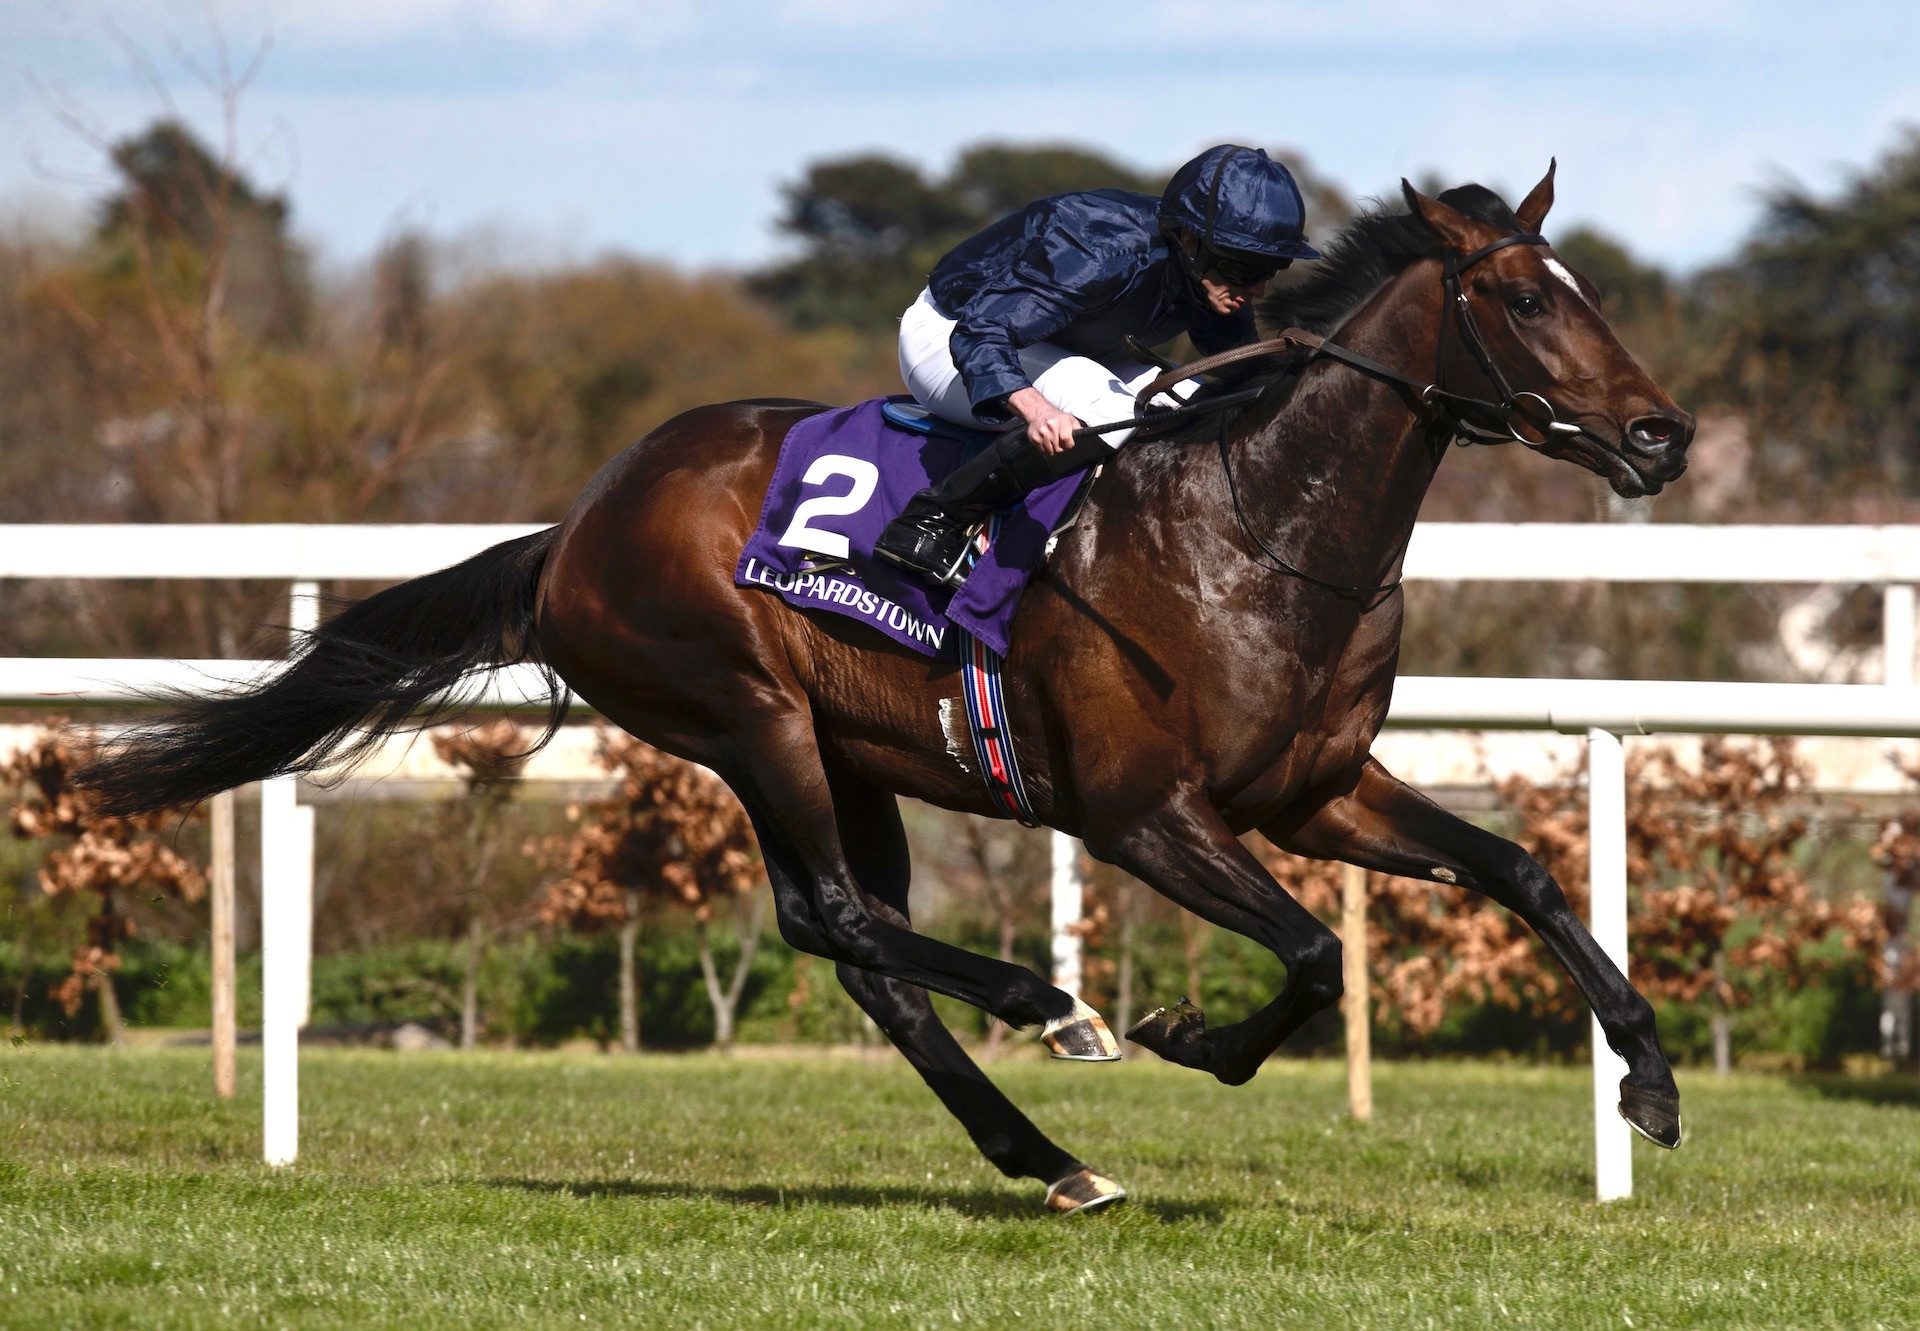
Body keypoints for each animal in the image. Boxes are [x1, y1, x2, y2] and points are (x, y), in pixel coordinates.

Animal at [82, 166, 1689, 1206]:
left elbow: (1521, 871)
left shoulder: (1314, 790)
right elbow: (1310, 954)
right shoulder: (1141, 812)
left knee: (868, 954)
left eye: (1588, 289)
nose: (1661, 435)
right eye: (1521, 297)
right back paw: (1053, 1008)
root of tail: (575, 527)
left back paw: (1051, 1158)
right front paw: (1184, 1034)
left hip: (856, 755)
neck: (1261, 527)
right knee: (837, 919)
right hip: (749, 718)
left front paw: (1650, 1078)